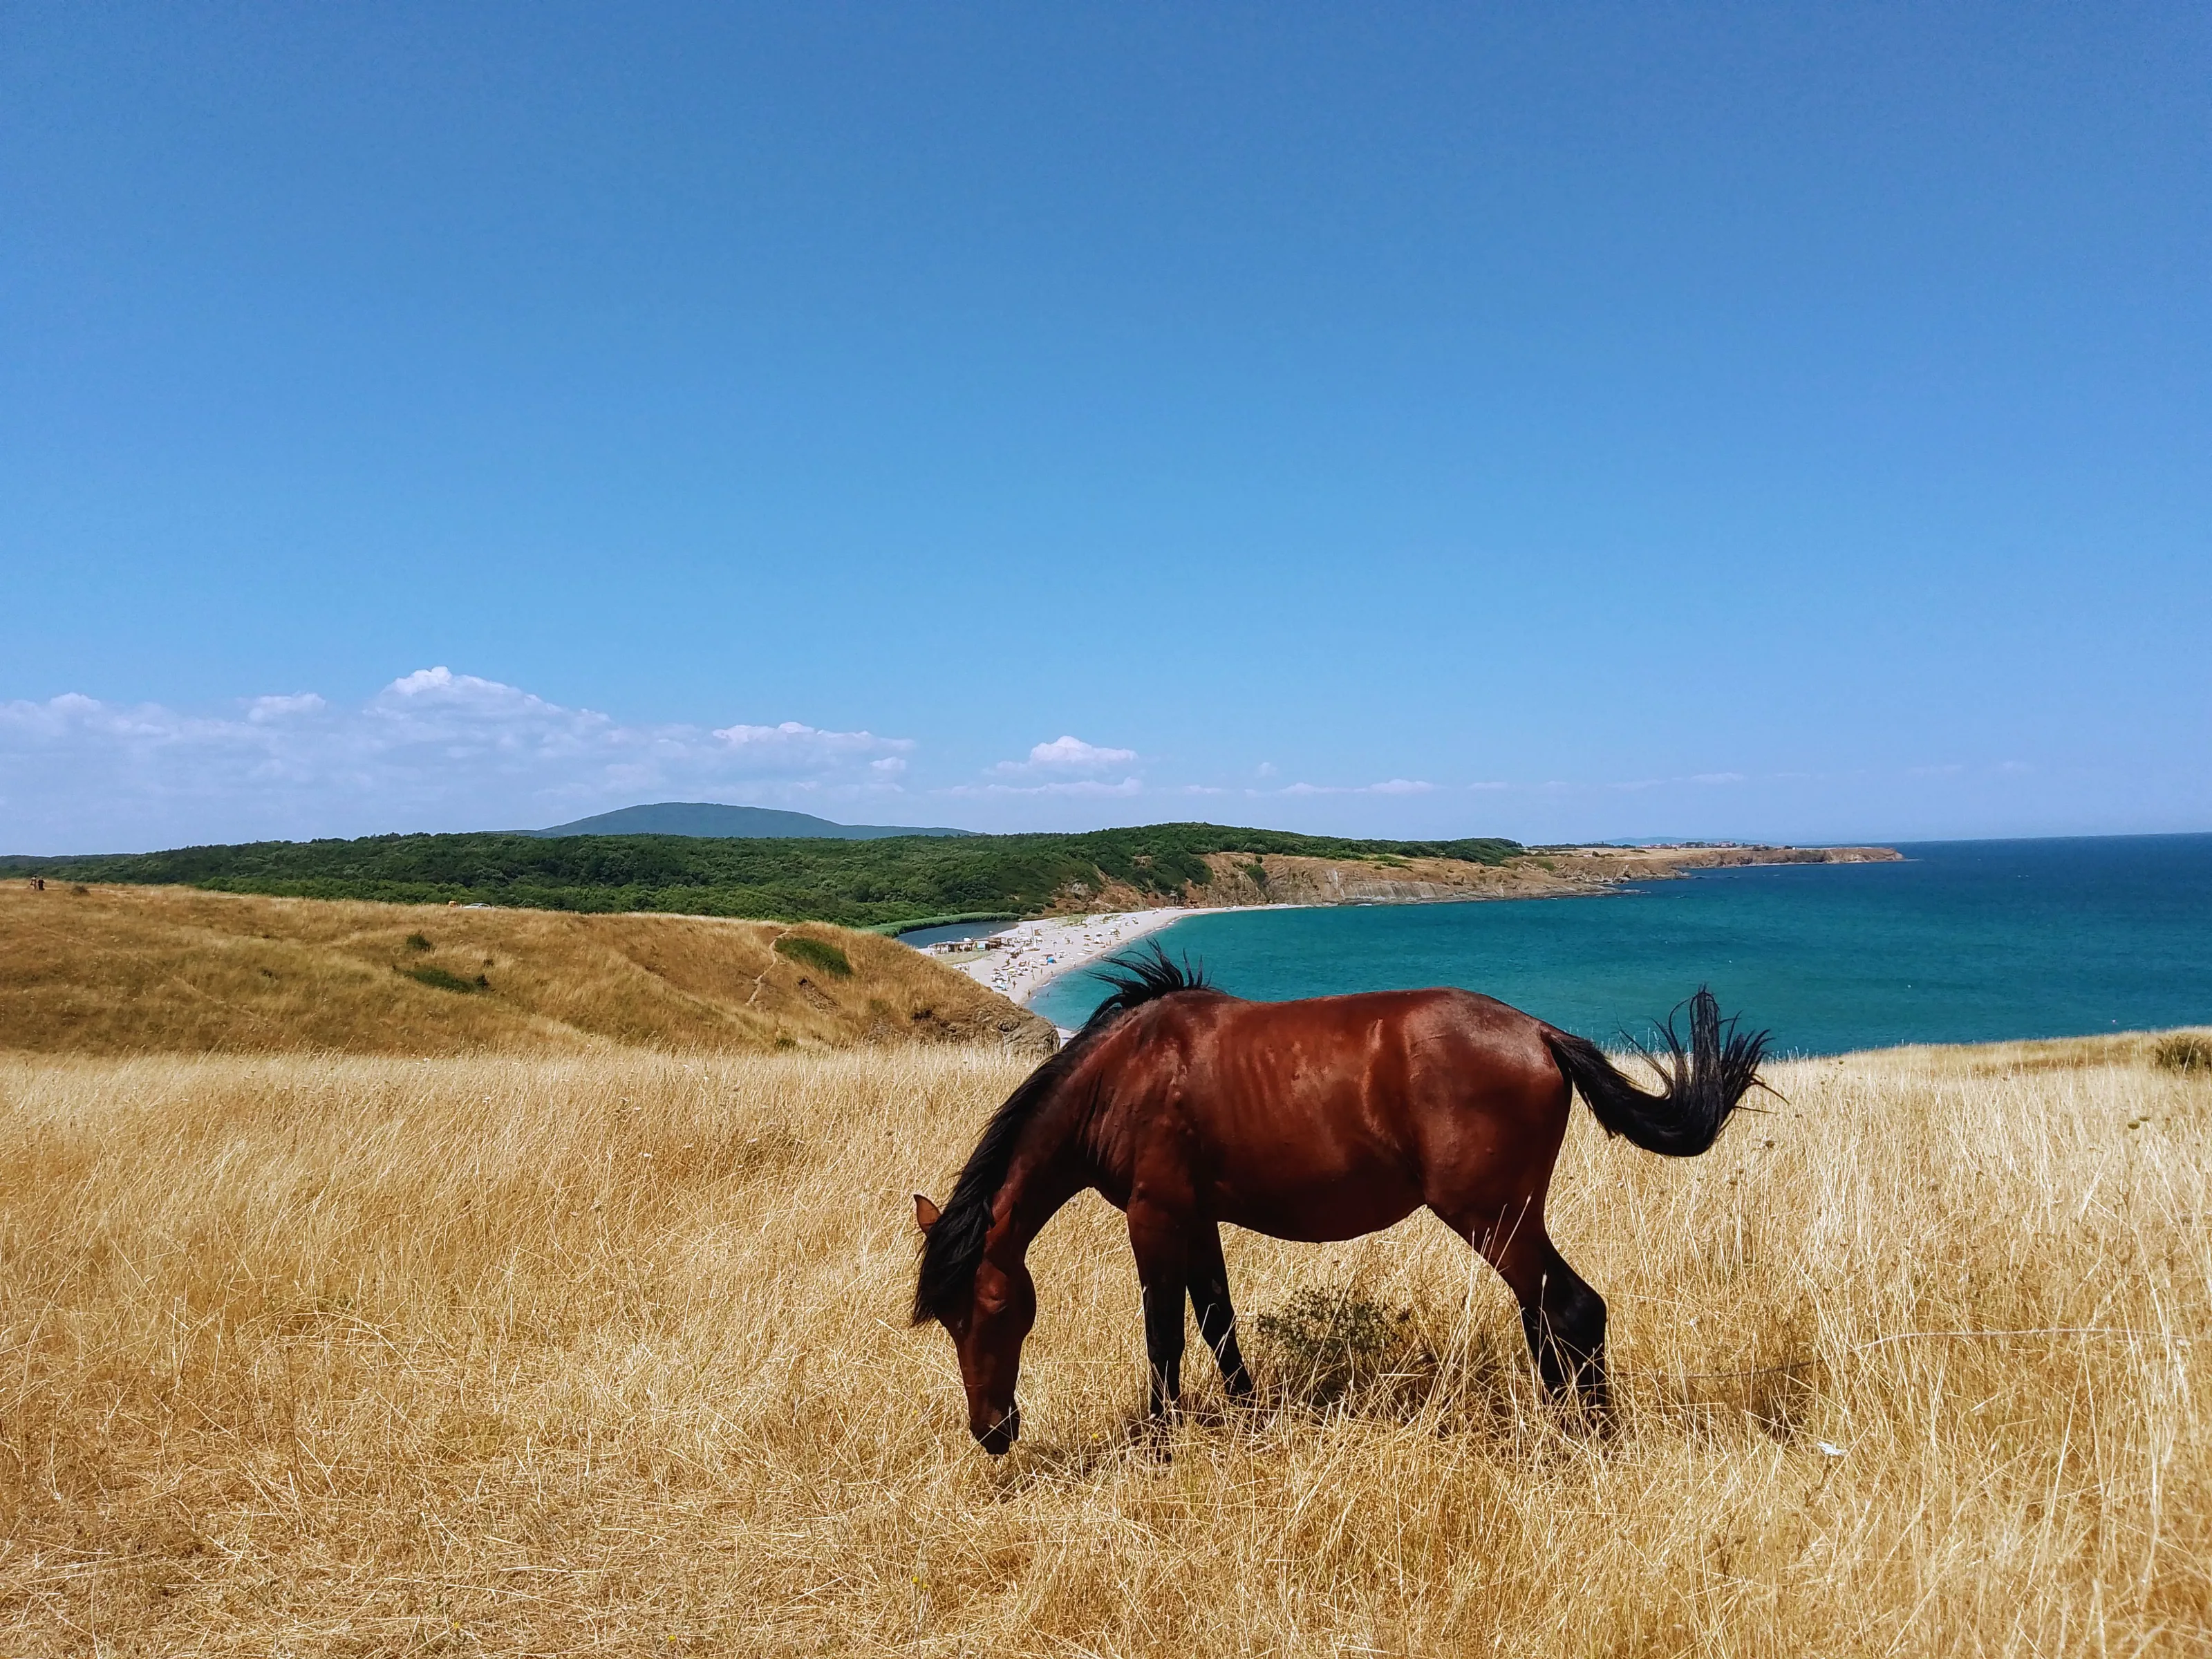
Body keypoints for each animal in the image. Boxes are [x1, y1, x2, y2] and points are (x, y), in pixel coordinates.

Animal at [912, 946, 1769, 1454]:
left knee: (1570, 1309)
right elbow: (1218, 1321)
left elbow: (1164, 1336)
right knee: (1545, 1314)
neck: (1124, 1075)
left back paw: (1581, 1441)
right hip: (1511, 1216)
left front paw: (1157, 1441)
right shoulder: (1197, 1219)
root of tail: (1538, 1033)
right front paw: (1249, 1419)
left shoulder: (1155, 1218)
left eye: (992, 1307)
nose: (990, 1432)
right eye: (946, 1319)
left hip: (1490, 1214)